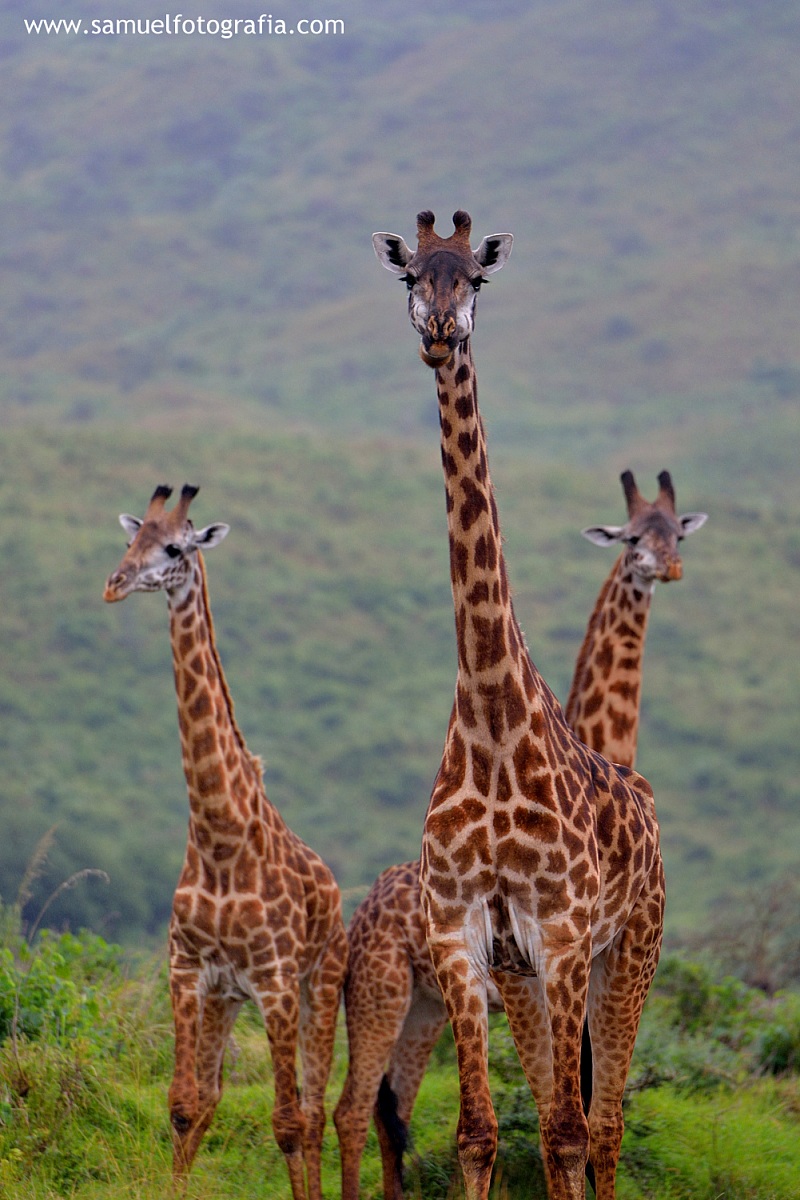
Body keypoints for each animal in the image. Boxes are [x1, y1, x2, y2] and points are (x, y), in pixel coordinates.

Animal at [103, 484, 347, 1200]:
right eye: (128, 540)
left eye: (174, 548)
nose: (114, 584)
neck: (217, 836)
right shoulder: (188, 971)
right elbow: (186, 1104)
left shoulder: (275, 979)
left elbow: (288, 1120)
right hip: (228, 998)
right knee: (216, 1098)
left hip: (319, 985)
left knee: (315, 1109)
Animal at [371, 210, 665, 1200]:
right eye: (411, 275)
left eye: (478, 278)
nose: (439, 330)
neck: (494, 721)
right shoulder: (466, 940)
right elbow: (479, 1134)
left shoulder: (569, 936)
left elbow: (572, 1132)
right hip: (529, 980)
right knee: (553, 1120)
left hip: (629, 952)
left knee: (602, 1127)